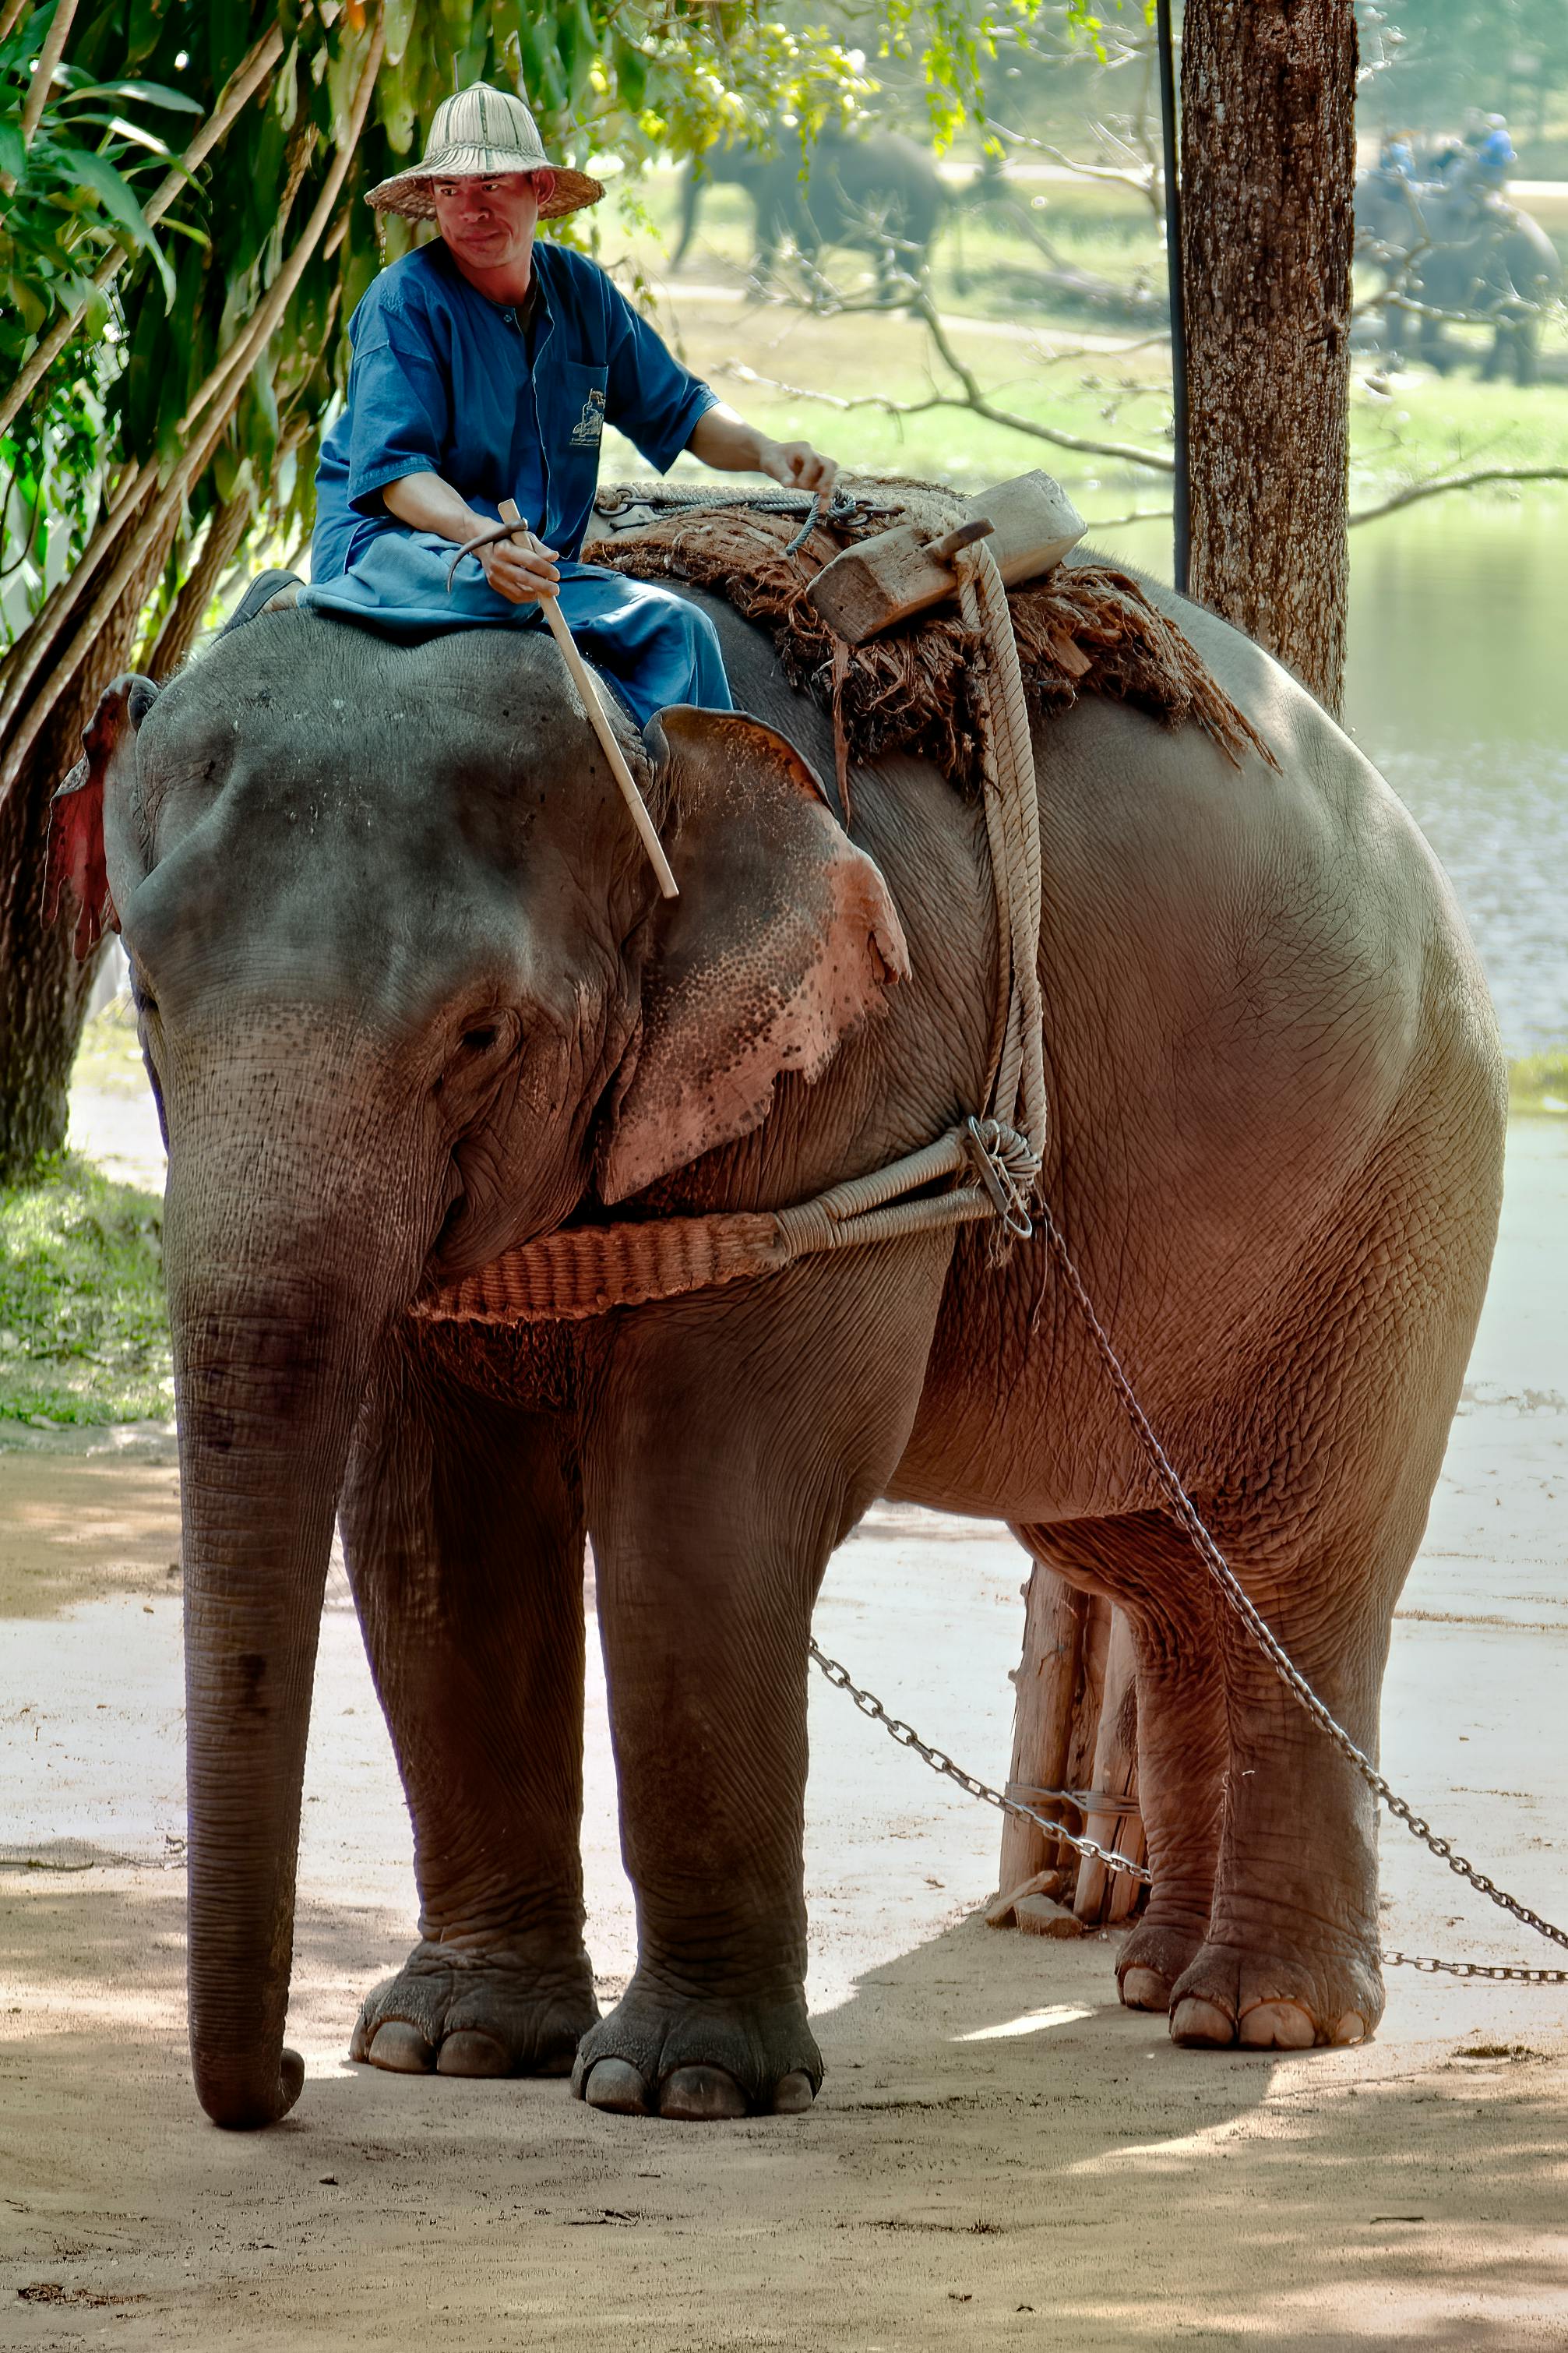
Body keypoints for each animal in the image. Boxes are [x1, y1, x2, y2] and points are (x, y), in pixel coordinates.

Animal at [69, 559, 1503, 2131]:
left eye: (481, 1034)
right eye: (146, 994)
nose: (277, 2074)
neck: (658, 738)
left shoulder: (864, 1071)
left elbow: (703, 1511)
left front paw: (679, 2090)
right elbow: (433, 1533)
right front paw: (448, 2048)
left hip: (1397, 1195)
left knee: (1299, 1576)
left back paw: (1262, 2018)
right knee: (1170, 1581)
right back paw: (1159, 1984)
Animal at [672, 128, 945, 297]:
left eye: (710, 151)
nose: (672, 269)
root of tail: (936, 175)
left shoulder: (779, 184)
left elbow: (766, 235)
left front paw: (753, 299)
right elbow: (805, 245)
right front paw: (825, 296)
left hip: (917, 209)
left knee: (908, 262)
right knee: (902, 262)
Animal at [1355, 170, 1563, 383]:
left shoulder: (1437, 260)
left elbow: (1437, 304)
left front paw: (1446, 368)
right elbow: (1396, 310)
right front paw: (1389, 371)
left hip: (1529, 274)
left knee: (1519, 326)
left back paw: (1524, 384)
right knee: (1509, 328)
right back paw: (1492, 379)